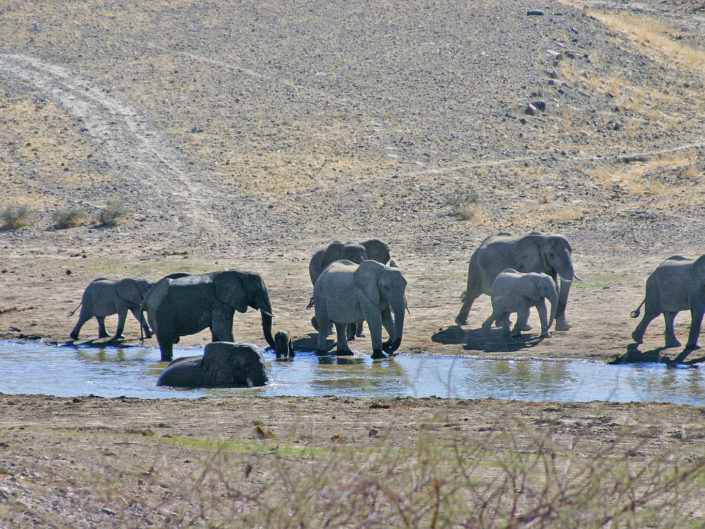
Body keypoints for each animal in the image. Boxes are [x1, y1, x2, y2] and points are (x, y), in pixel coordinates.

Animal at [141, 270, 276, 361]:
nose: (272, 350)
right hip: (161, 312)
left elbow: (216, 332)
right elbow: (221, 330)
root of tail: (147, 298)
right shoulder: (220, 303)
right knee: (166, 342)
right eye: (258, 292)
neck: (240, 273)